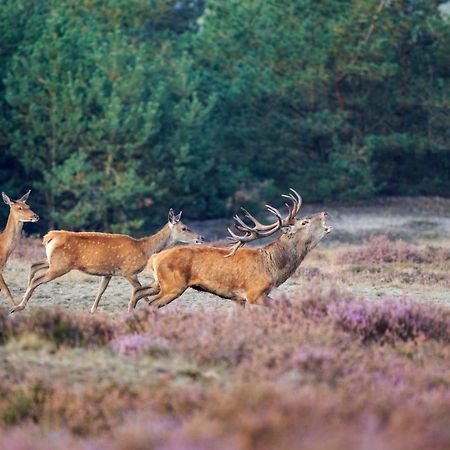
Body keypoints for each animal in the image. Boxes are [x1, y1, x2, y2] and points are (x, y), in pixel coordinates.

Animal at [12, 208, 203, 312]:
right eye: (184, 227)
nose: (200, 237)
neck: (144, 249)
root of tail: (49, 236)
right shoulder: (128, 271)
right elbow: (140, 291)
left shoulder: (108, 273)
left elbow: (100, 291)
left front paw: (92, 311)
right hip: (60, 265)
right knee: (37, 279)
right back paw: (18, 307)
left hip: (52, 261)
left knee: (34, 265)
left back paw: (19, 301)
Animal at [130, 188, 330, 312]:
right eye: (305, 222)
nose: (324, 213)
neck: (273, 267)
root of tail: (155, 257)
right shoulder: (254, 293)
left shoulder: (239, 299)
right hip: (173, 285)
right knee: (151, 304)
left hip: (159, 282)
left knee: (138, 292)